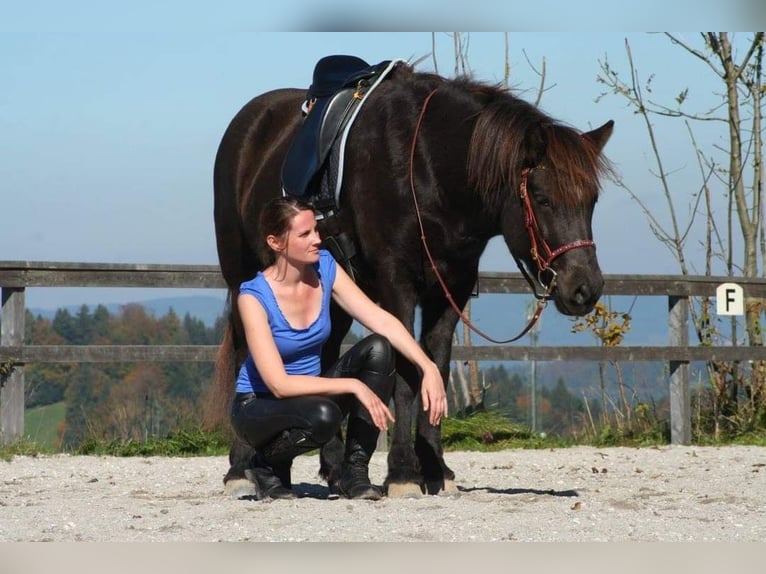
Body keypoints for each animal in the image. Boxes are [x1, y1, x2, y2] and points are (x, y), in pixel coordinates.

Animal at [207, 59, 616, 500]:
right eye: (541, 198)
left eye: (592, 200)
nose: (584, 288)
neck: (426, 167)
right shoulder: (396, 284)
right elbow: (405, 374)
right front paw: (403, 472)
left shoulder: (450, 291)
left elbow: (435, 367)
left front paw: (436, 469)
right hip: (243, 277)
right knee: (246, 357)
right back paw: (242, 469)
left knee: (326, 358)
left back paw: (332, 470)